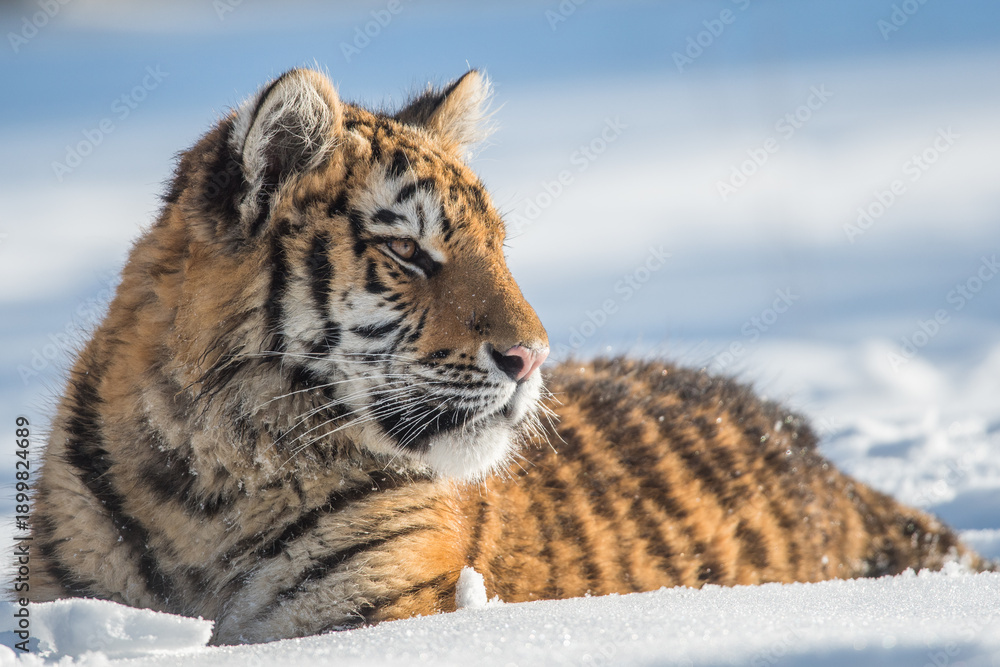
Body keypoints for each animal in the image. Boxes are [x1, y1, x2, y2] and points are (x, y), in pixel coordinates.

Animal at [28, 67, 988, 645]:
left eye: (496, 244)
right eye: (408, 252)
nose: (532, 357)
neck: (205, 483)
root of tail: (825, 463)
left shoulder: (378, 607)